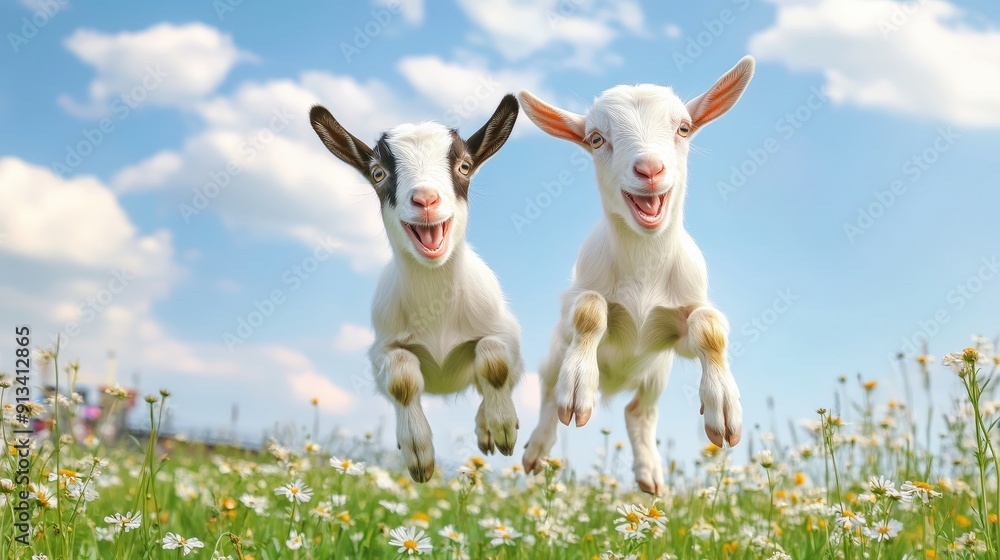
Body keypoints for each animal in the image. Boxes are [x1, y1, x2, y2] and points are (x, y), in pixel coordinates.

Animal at [308, 95, 523, 482]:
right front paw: (418, 454)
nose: (425, 200)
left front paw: (501, 427)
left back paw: (488, 428)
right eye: (378, 173)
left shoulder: (508, 336)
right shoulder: (382, 350)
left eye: (465, 167)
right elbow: (402, 379)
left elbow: (494, 361)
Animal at [517, 56, 755, 495]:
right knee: (547, 391)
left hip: (656, 373)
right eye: (596, 139)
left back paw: (650, 475)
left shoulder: (675, 331)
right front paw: (579, 387)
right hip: (555, 353)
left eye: (683, 128)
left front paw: (723, 404)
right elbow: (590, 310)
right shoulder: (575, 303)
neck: (643, 271)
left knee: (638, 411)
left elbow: (709, 326)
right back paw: (538, 449)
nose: (649, 169)